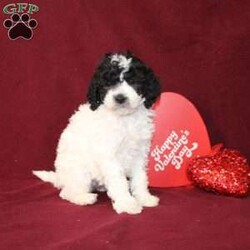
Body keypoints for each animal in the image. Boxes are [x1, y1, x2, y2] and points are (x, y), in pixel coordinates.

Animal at [32, 51, 160, 215]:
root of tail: (60, 177)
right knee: (66, 192)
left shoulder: (139, 152)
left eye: (133, 82)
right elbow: (118, 180)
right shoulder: (108, 154)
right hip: (79, 171)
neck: (124, 118)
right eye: (107, 84)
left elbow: (140, 177)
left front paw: (144, 197)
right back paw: (83, 198)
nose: (120, 98)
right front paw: (127, 203)